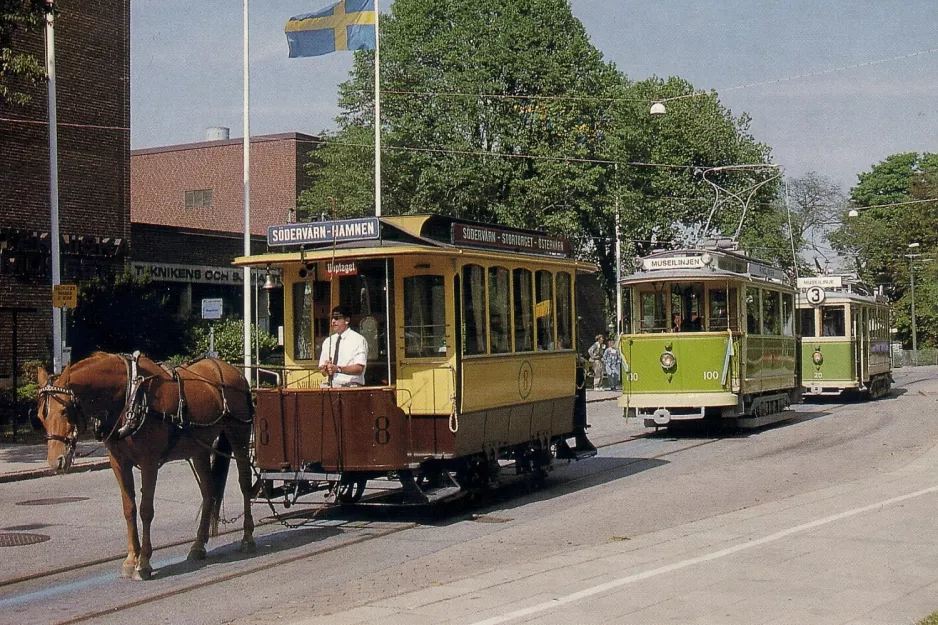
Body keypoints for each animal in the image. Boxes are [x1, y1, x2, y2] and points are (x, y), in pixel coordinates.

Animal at [35, 352, 256, 580]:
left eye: (64, 410)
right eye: (40, 416)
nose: (56, 461)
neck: (129, 395)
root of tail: (233, 371)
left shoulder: (149, 461)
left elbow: (145, 510)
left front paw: (144, 563)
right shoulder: (119, 463)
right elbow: (129, 509)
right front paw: (131, 559)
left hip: (239, 437)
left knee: (244, 483)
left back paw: (247, 537)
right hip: (199, 449)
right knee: (208, 491)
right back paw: (198, 545)